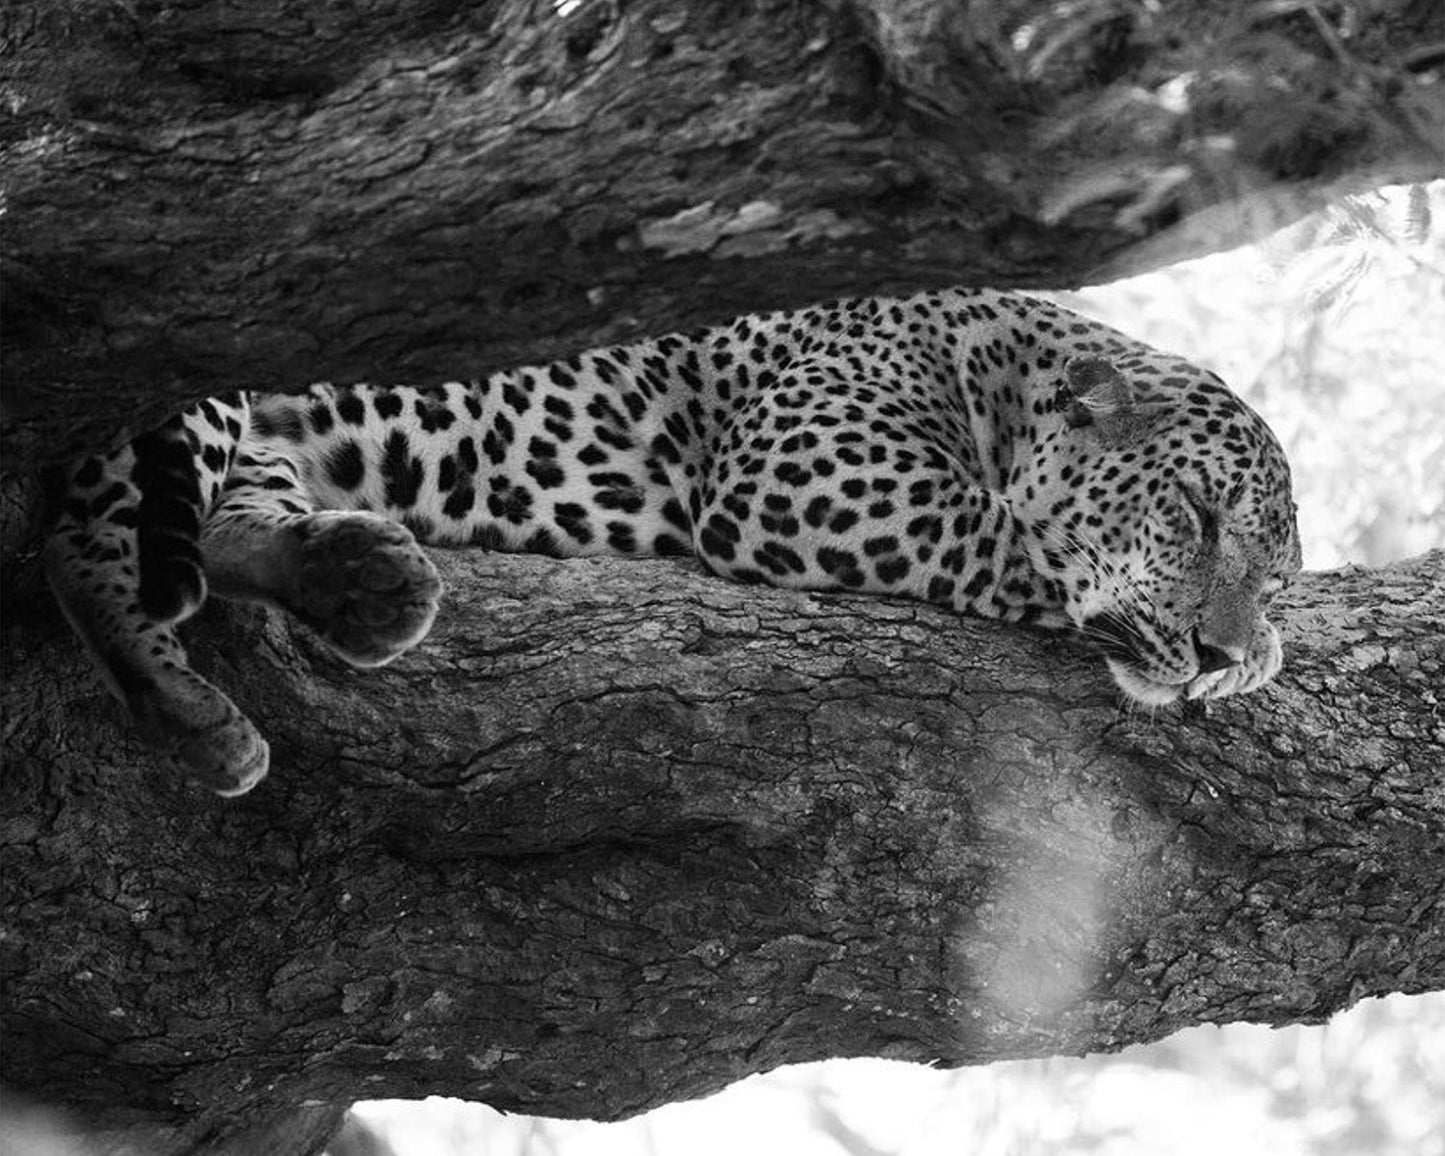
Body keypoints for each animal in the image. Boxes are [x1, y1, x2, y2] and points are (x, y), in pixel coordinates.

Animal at [42, 286, 1300, 797]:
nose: (1216, 650)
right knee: (79, 540)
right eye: (1193, 517)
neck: (1005, 368)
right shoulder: (808, 464)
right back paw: (183, 704)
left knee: (228, 522)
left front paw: (1253, 660)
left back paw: (364, 582)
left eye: (1276, 580)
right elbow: (1015, 540)